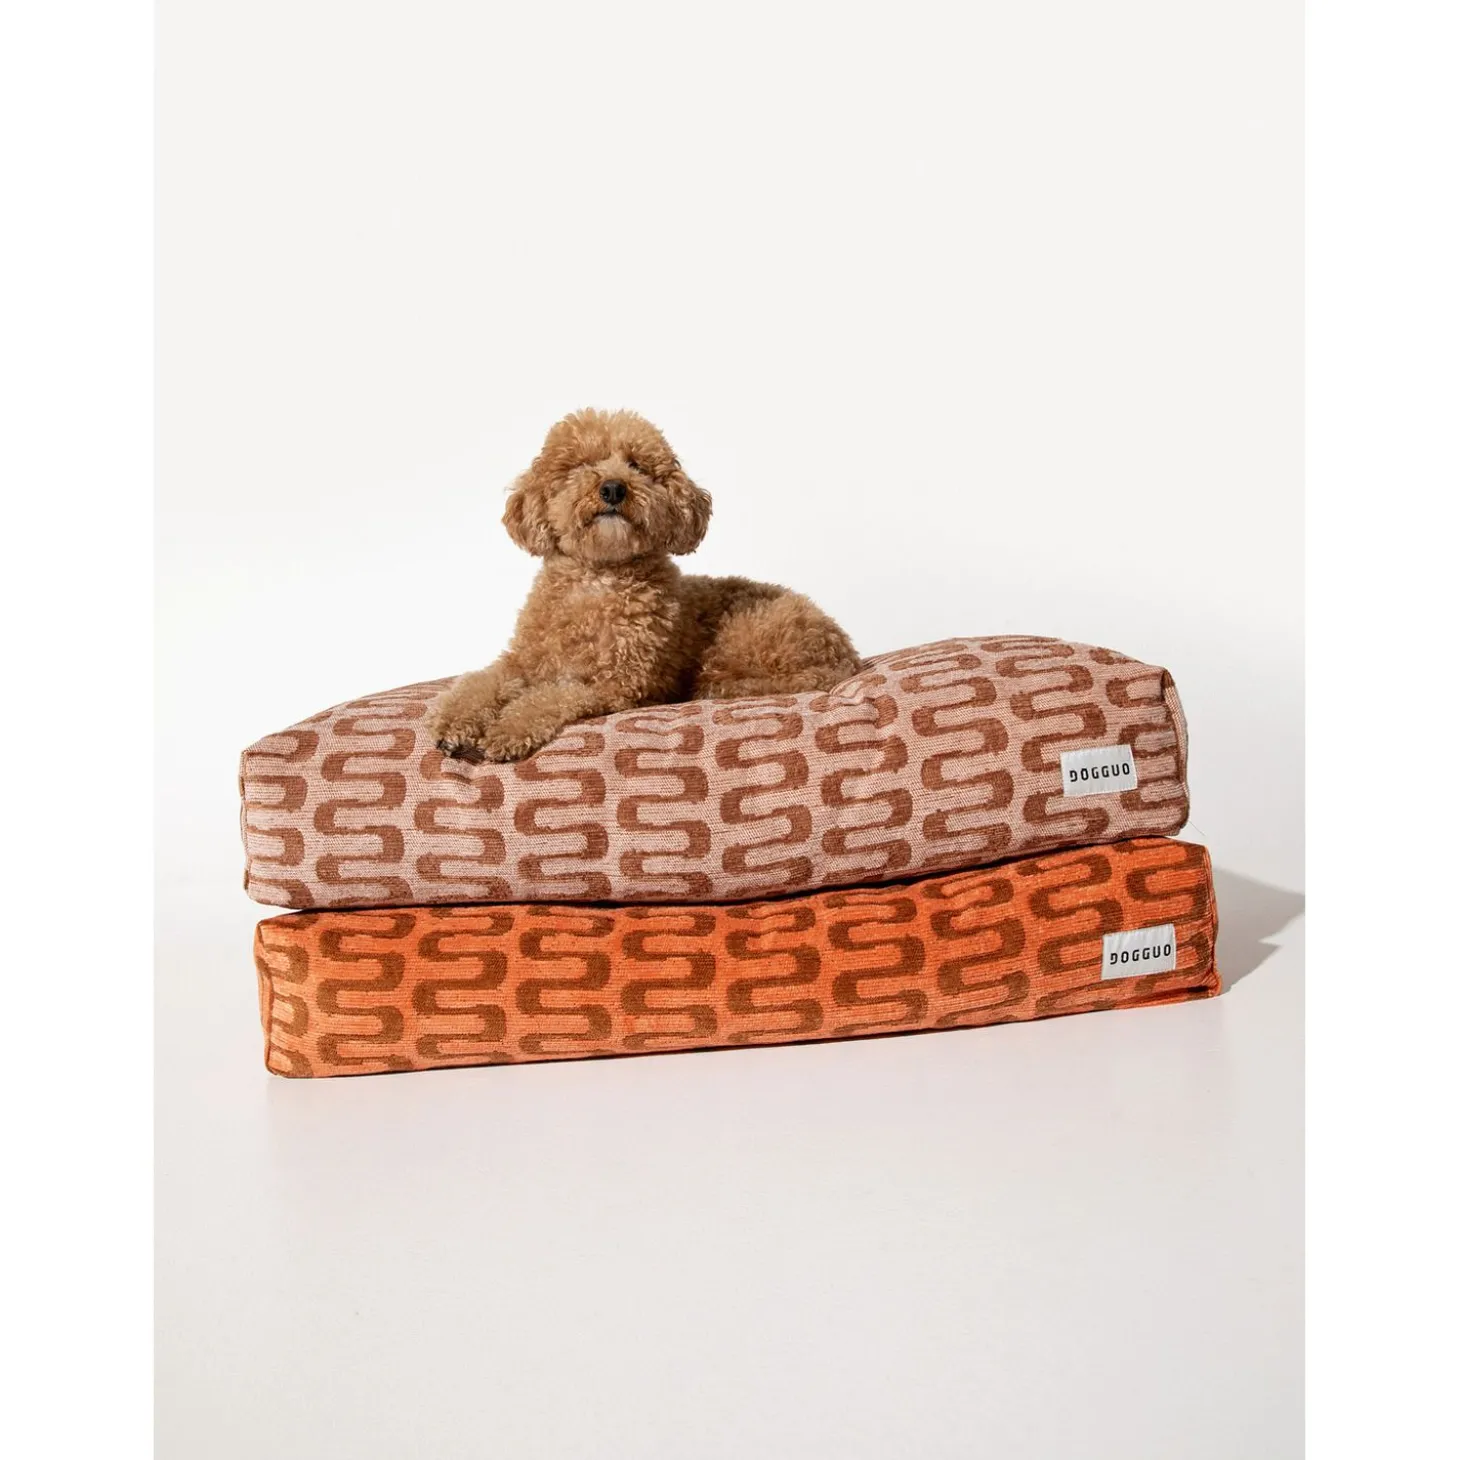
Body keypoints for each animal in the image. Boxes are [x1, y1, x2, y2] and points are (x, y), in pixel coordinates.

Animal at [427, 408, 861, 763]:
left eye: (636, 464)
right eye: (579, 465)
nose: (613, 488)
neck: (598, 580)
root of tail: (847, 654)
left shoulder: (618, 685)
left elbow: (551, 696)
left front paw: (506, 730)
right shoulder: (521, 662)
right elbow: (479, 681)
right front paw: (452, 721)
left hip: (743, 638)